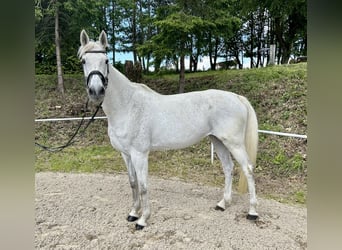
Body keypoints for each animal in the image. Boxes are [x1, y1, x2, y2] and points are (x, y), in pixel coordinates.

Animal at [78, 30, 260, 229]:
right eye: (83, 61)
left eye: (106, 60)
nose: (96, 91)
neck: (128, 105)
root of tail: (237, 97)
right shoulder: (126, 154)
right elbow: (133, 183)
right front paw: (133, 213)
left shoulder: (140, 154)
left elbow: (143, 186)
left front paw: (143, 219)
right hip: (217, 140)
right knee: (228, 168)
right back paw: (223, 204)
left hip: (234, 143)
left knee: (248, 169)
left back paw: (252, 212)